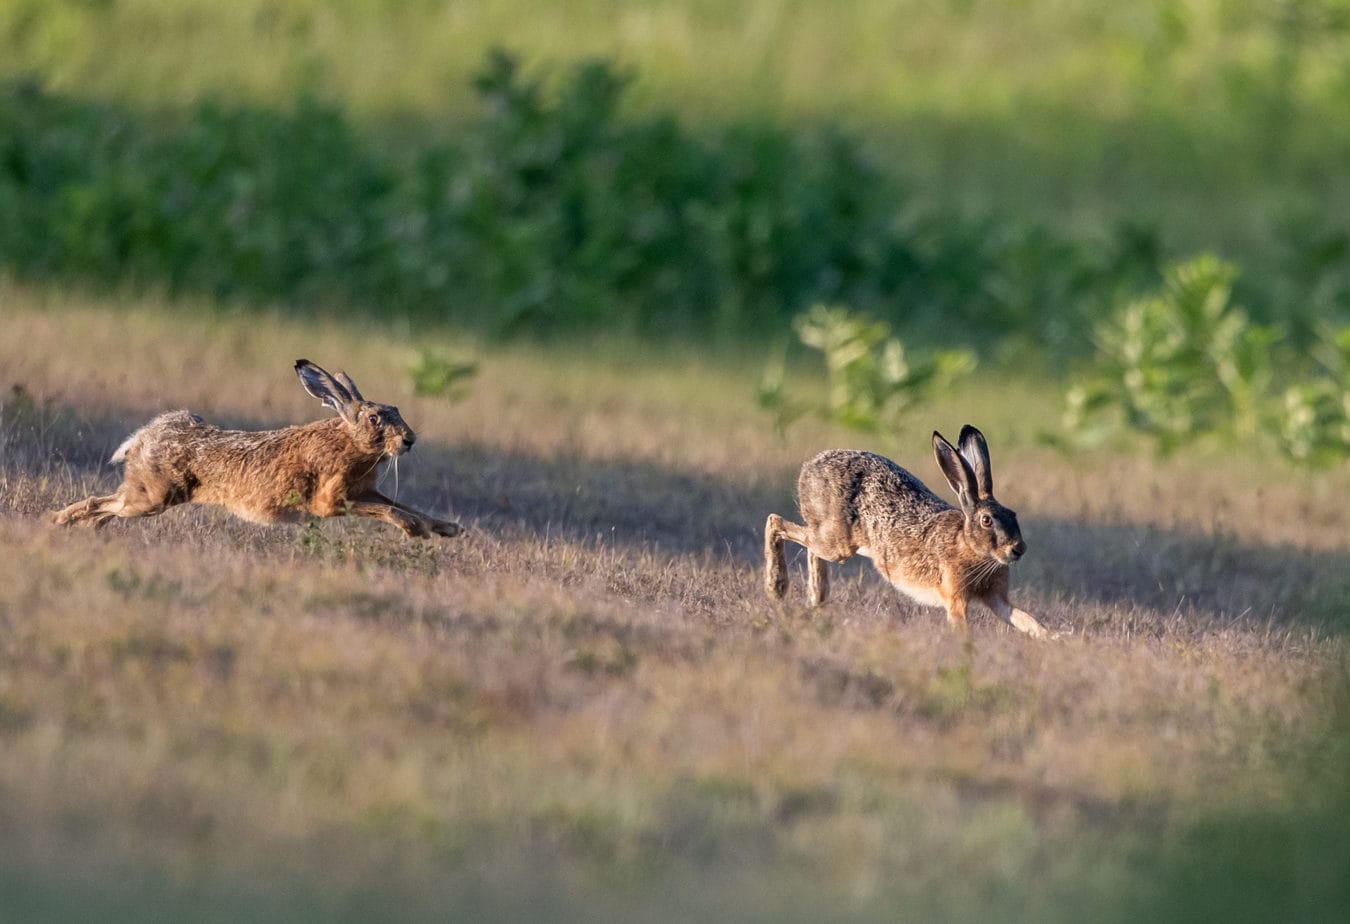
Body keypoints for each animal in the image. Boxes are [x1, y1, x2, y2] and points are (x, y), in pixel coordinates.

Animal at [52, 359, 464, 540]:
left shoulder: (365, 490)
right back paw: (59, 522)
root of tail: (143, 437)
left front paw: (445, 528)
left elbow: (402, 504)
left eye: (396, 409)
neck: (349, 441)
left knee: (108, 505)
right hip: (154, 496)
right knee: (101, 501)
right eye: (376, 418)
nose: (409, 441)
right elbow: (386, 510)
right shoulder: (332, 501)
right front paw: (414, 530)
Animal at [764, 425, 1053, 638]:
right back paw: (776, 588)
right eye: (986, 521)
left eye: (1013, 514)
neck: (969, 546)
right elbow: (961, 625)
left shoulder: (996, 598)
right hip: (837, 543)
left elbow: (1023, 618)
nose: (1018, 549)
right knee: (775, 522)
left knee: (810, 546)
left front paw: (1051, 638)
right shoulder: (955, 596)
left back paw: (817, 598)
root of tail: (809, 468)